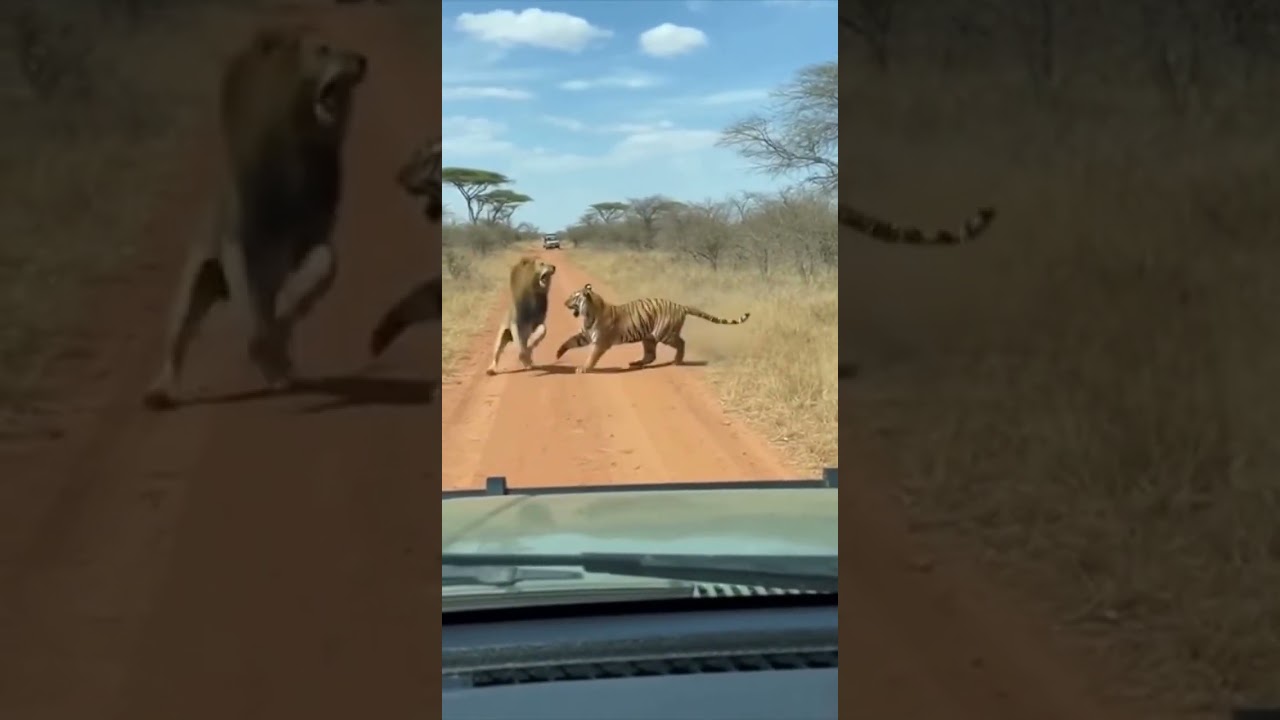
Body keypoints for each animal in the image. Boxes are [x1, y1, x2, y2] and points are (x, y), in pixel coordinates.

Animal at [141, 25, 368, 410]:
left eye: (347, 49)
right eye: (323, 49)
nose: (362, 60)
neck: (297, 147)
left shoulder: (308, 236)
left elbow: (324, 264)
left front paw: (281, 325)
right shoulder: (239, 236)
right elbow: (251, 316)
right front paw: (263, 346)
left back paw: (281, 366)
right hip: (197, 277)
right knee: (179, 336)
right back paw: (160, 391)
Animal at [554, 283, 749, 374]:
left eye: (574, 297)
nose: (563, 302)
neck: (588, 314)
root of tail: (681, 306)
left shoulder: (599, 341)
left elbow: (592, 357)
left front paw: (583, 368)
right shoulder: (585, 335)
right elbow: (569, 341)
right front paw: (558, 353)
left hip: (664, 333)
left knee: (681, 342)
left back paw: (677, 360)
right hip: (648, 337)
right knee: (650, 355)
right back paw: (636, 363)